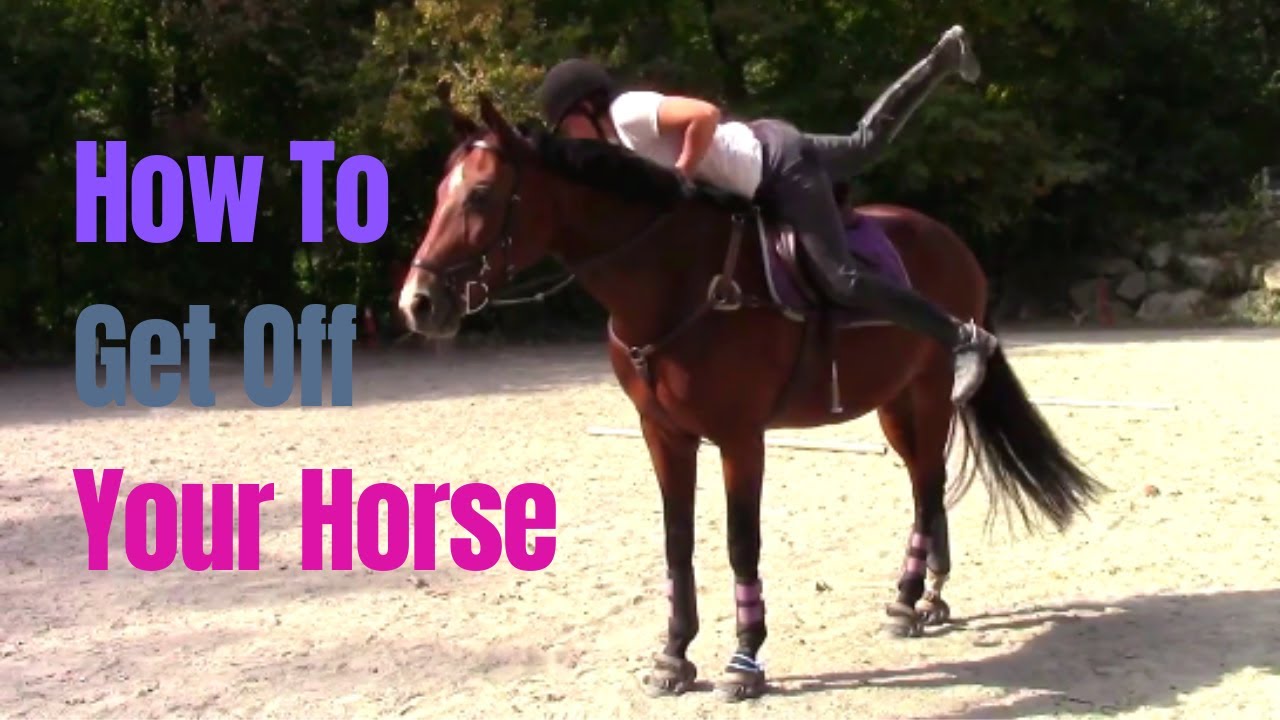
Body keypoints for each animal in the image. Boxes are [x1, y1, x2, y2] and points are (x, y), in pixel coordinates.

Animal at [397, 89, 1105, 701]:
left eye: (482, 194)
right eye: (438, 193)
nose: (418, 302)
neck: (674, 281)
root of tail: (951, 242)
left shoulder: (740, 438)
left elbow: (742, 542)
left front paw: (744, 659)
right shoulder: (665, 436)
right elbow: (677, 542)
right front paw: (674, 656)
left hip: (928, 396)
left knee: (929, 485)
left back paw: (912, 598)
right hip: (895, 405)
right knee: (923, 488)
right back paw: (924, 597)